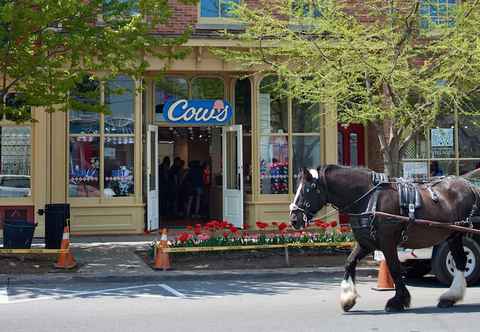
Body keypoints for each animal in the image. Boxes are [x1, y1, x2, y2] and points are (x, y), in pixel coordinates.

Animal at [290, 165, 478, 312]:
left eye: (307, 189)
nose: (293, 219)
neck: (368, 198)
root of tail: (470, 186)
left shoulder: (387, 242)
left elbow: (394, 269)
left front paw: (398, 301)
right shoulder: (366, 242)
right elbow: (349, 262)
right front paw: (348, 299)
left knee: (460, 260)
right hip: (453, 235)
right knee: (460, 261)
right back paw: (450, 297)